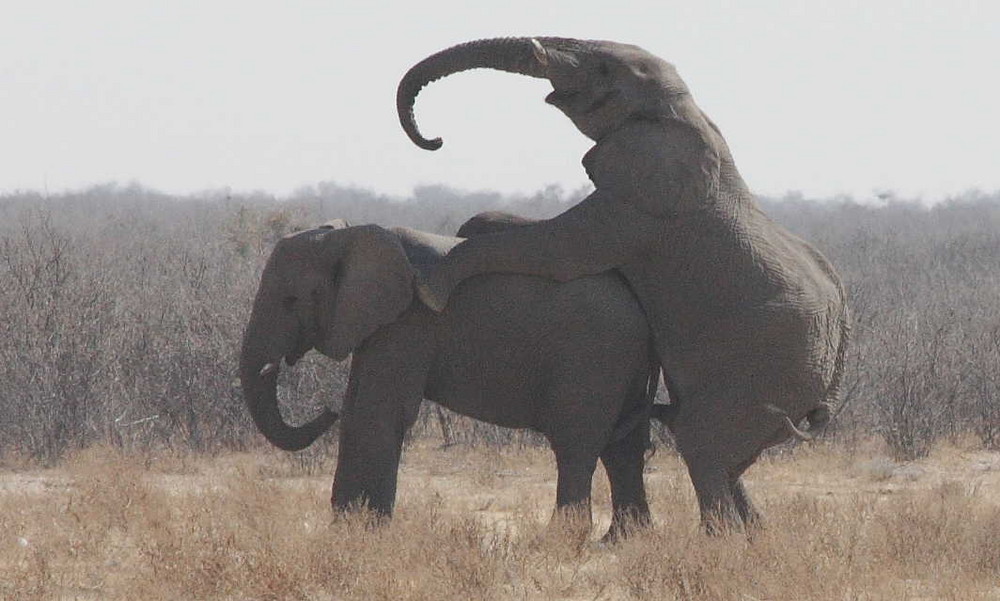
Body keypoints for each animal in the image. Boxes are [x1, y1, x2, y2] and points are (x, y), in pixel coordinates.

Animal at [240, 216, 664, 540]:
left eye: (291, 301)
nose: (323, 410)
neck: (350, 233)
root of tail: (643, 307)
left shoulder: (410, 320)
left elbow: (376, 411)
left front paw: (362, 532)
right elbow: (358, 404)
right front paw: (348, 528)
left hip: (594, 357)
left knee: (575, 445)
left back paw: (559, 540)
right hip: (622, 362)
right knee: (621, 448)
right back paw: (623, 540)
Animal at [398, 36, 852, 528]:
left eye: (602, 68)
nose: (435, 139)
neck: (683, 110)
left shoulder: (643, 201)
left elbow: (562, 249)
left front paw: (434, 282)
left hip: (769, 369)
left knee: (702, 445)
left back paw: (721, 537)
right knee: (725, 455)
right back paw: (755, 532)